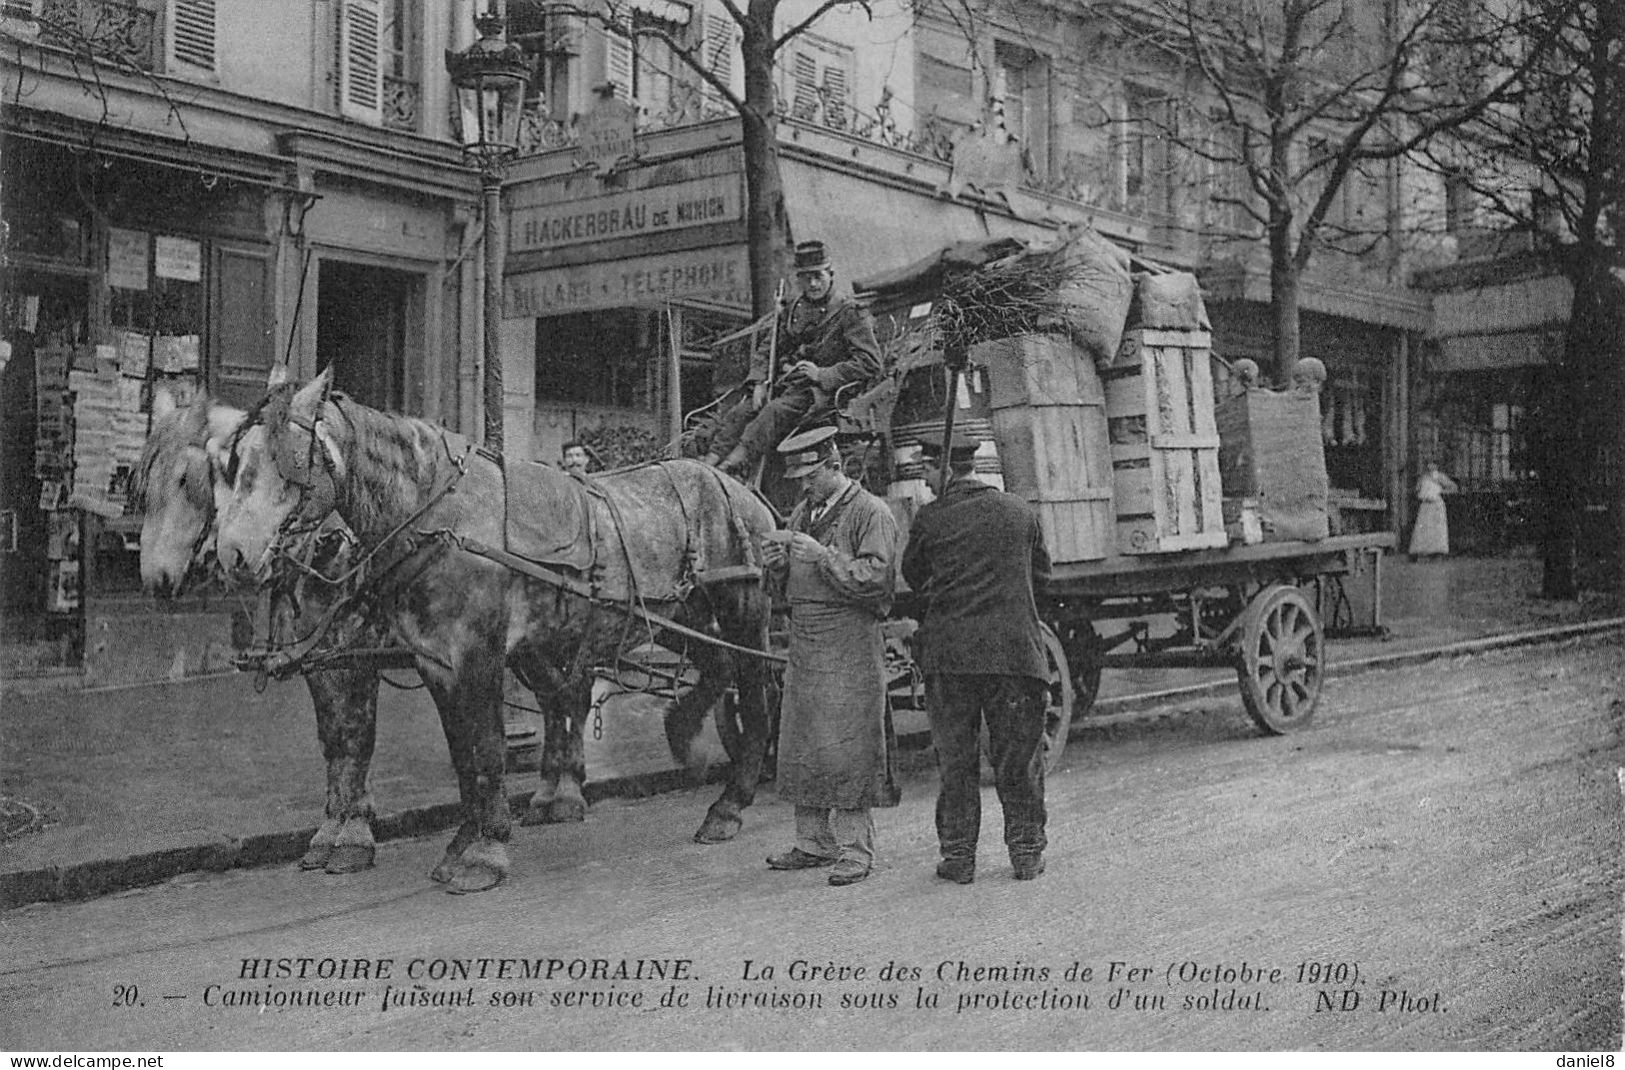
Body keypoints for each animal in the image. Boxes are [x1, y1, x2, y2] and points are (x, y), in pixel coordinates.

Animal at [130, 387, 386, 871]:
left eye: (184, 480)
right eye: (141, 486)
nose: (156, 581)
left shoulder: (360, 650)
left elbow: (358, 734)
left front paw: (356, 834)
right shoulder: (318, 656)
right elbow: (333, 736)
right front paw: (332, 828)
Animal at [212, 370, 776, 884]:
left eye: (286, 460)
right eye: (236, 463)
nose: (231, 553)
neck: (438, 518)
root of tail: (740, 488)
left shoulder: (470, 656)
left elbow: (481, 747)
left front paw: (483, 851)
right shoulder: (430, 661)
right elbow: (449, 753)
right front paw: (461, 842)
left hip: (742, 608)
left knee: (754, 688)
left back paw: (728, 803)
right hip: (676, 616)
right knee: (709, 668)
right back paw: (680, 738)